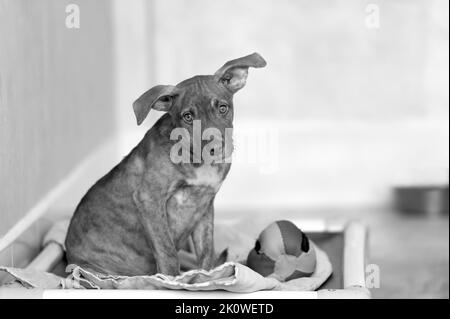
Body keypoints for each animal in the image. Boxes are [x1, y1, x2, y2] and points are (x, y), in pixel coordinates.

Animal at [63, 52, 268, 278]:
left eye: (223, 108)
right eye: (188, 116)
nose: (215, 148)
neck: (196, 161)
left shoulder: (205, 207)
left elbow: (206, 253)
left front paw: (205, 277)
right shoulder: (149, 200)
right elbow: (168, 253)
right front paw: (172, 282)